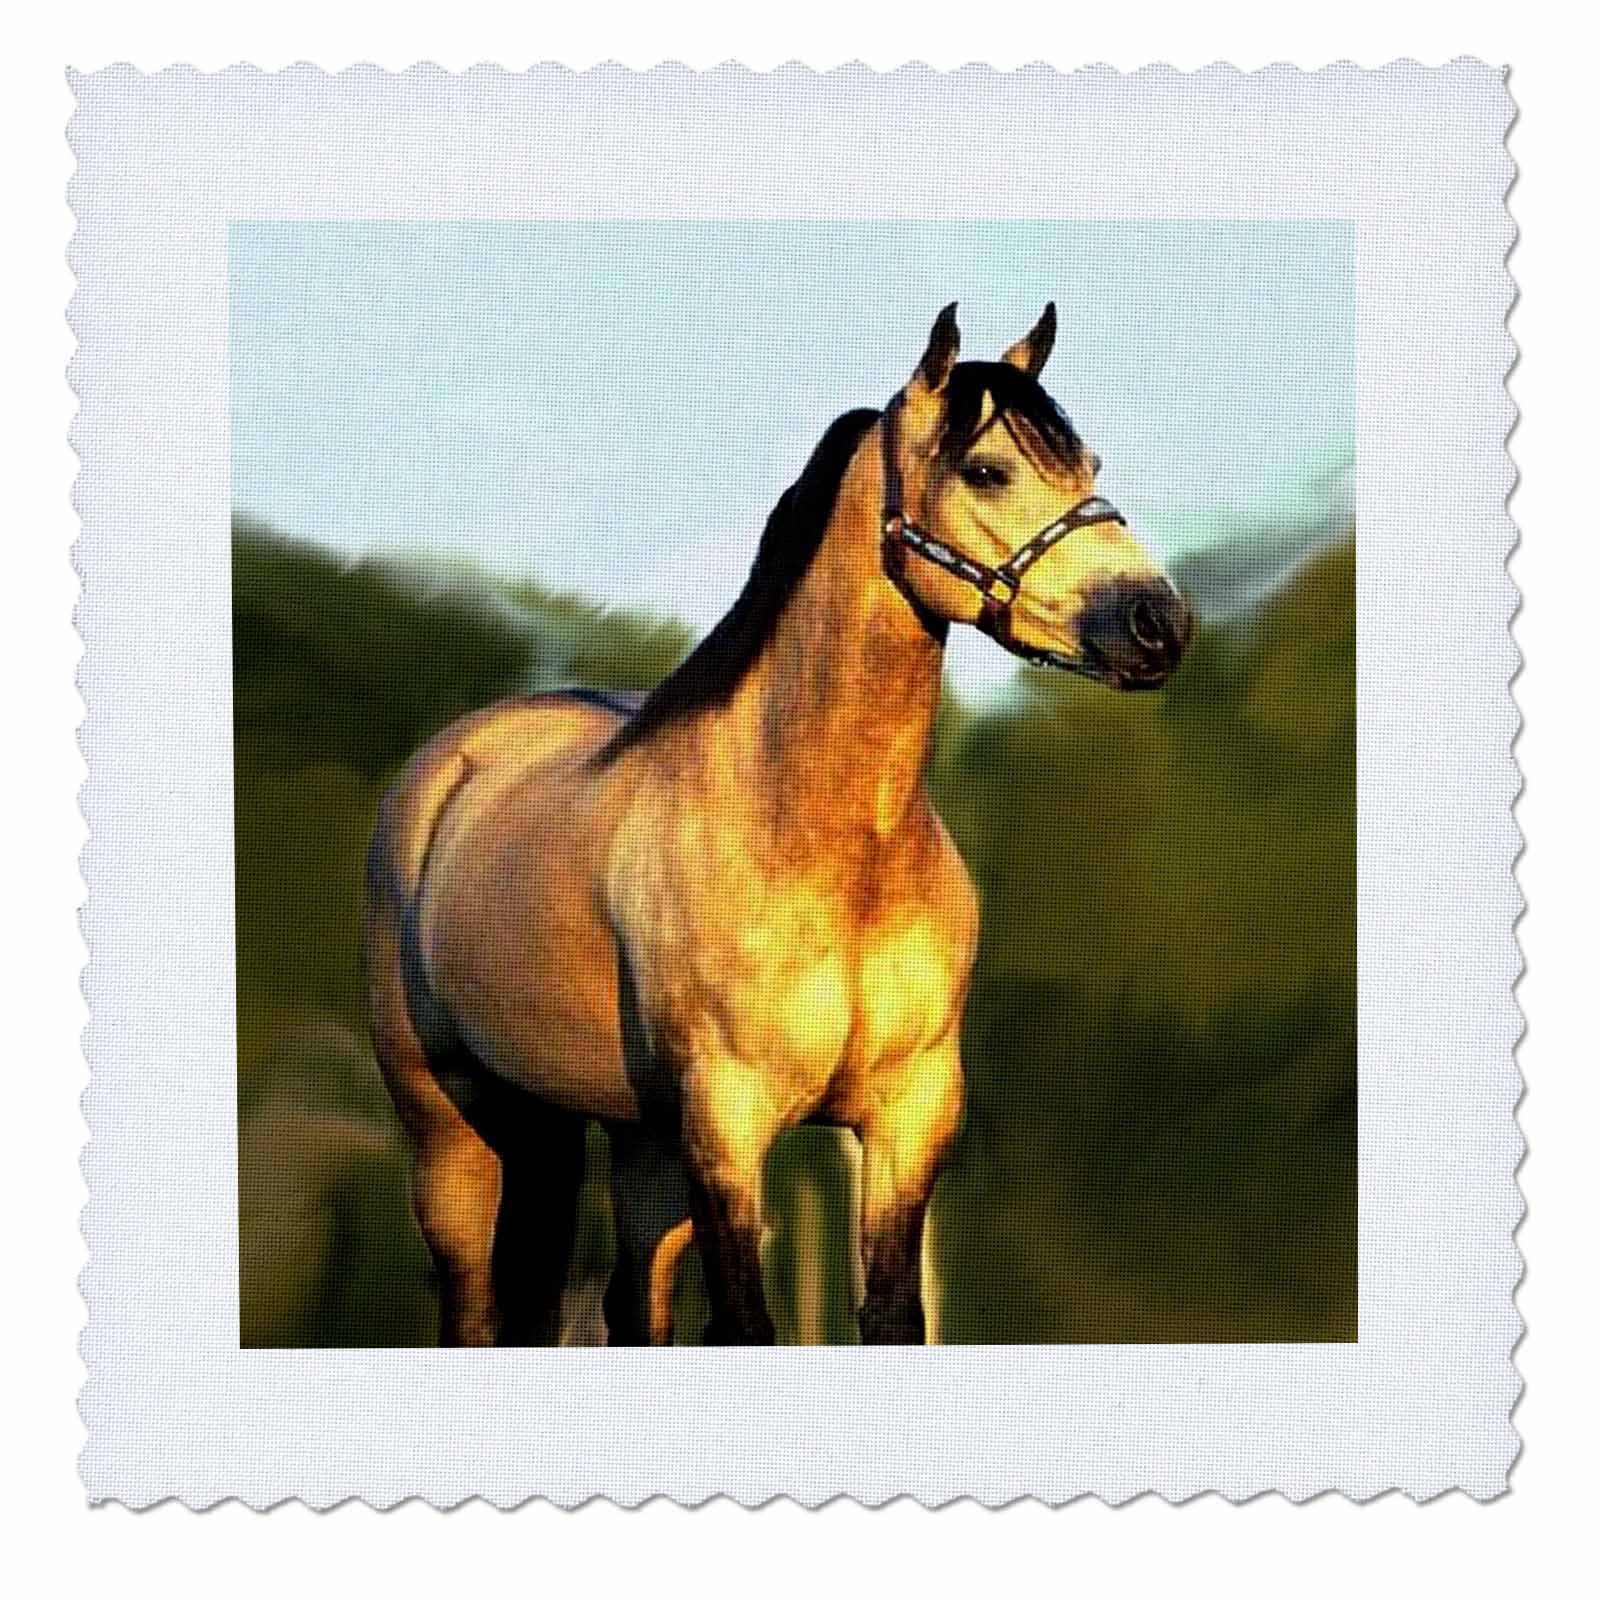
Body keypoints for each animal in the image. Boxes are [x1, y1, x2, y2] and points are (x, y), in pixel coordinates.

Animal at [362, 303, 1193, 1346]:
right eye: (987, 469)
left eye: (1089, 466)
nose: (1158, 624)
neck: (826, 842)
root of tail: (452, 766)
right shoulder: (729, 1123)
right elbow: (746, 1324)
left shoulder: (907, 1118)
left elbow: (890, 1316)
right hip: (453, 1130)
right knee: (474, 1311)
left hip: (631, 1142)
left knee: (632, 1306)